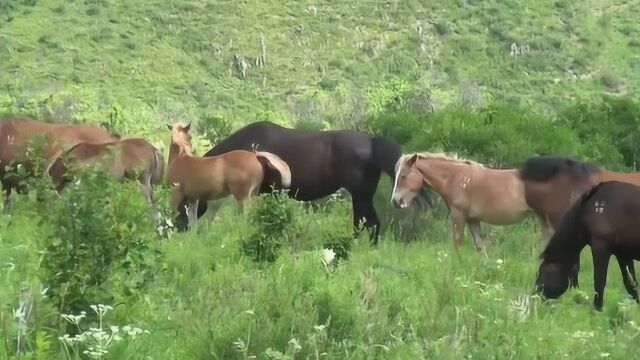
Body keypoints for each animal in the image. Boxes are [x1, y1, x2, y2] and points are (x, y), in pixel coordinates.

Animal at [170, 121, 436, 245]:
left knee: (368, 223)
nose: (179, 228)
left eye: (183, 203)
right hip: (362, 196)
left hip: (360, 196)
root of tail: (371, 142)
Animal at [392, 152, 532, 250]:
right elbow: (480, 246)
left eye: (403, 175)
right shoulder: (473, 220)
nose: (395, 201)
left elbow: (458, 243)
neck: (456, 178)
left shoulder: (458, 216)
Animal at [536, 181, 640, 310]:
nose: (535, 295)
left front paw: (597, 309)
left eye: (542, 272)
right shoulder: (623, 254)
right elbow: (631, 284)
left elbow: (599, 281)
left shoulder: (600, 246)